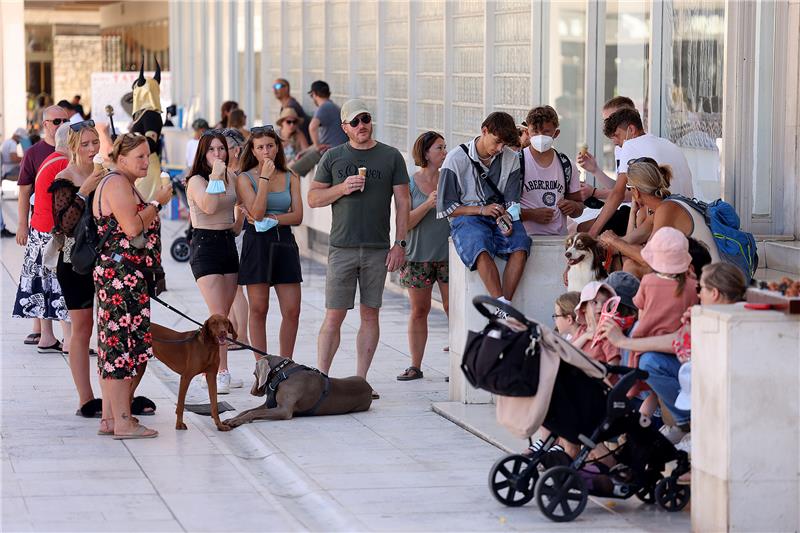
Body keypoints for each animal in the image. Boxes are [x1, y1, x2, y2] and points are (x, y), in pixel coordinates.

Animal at [223, 354, 374, 428]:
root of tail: (369, 387)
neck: (283, 373)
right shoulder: (269, 405)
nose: (252, 392)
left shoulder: (284, 410)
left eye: (254, 373)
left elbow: (254, 412)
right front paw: (233, 419)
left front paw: (236, 421)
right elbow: (247, 411)